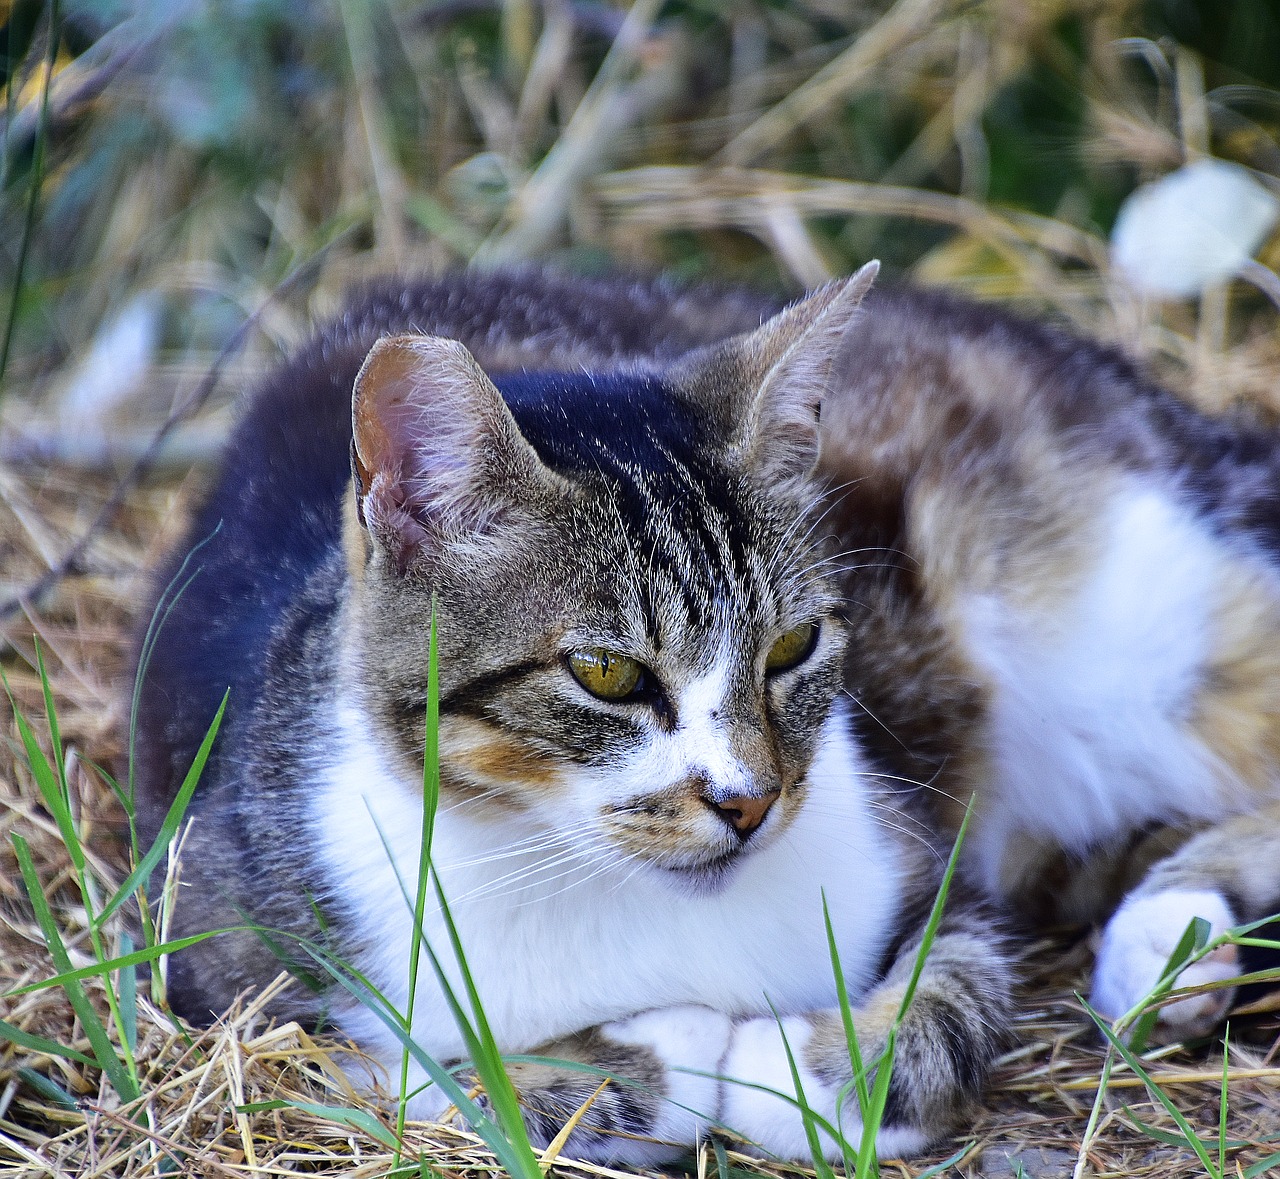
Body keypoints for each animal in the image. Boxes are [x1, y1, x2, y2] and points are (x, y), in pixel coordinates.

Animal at [132, 264, 1280, 1157]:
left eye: (792, 648)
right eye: (605, 674)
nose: (749, 801)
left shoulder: (920, 849)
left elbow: (952, 982)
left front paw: (805, 1068)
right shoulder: (213, 946)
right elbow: (385, 1065)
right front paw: (648, 1053)